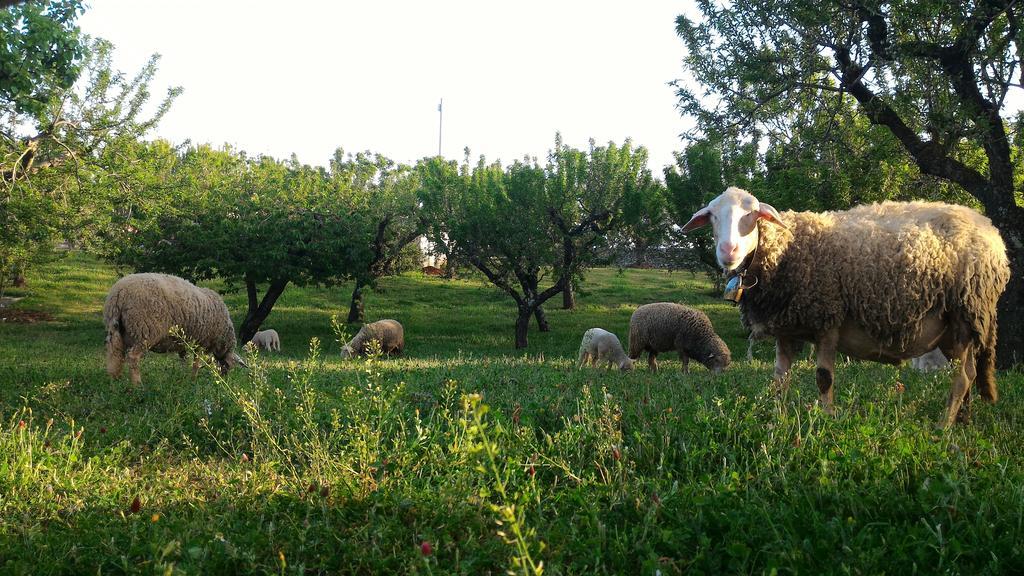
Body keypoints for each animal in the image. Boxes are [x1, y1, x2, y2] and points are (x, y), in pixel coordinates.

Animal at [104, 270, 245, 385]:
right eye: (229, 365)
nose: (224, 379)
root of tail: (119, 294)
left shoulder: (183, 342)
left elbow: (183, 360)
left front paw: (182, 378)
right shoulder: (201, 342)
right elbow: (196, 363)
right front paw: (193, 380)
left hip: (117, 330)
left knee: (115, 354)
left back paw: (115, 380)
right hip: (145, 331)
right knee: (133, 357)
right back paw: (138, 386)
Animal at [684, 186, 1011, 424]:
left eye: (753, 214)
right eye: (712, 216)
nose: (728, 251)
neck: (786, 250)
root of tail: (990, 230)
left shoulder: (829, 319)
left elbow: (824, 378)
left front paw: (828, 418)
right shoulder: (787, 329)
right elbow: (779, 379)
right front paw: (776, 418)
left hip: (967, 312)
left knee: (964, 377)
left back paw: (944, 427)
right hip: (954, 329)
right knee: (969, 373)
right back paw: (962, 420)